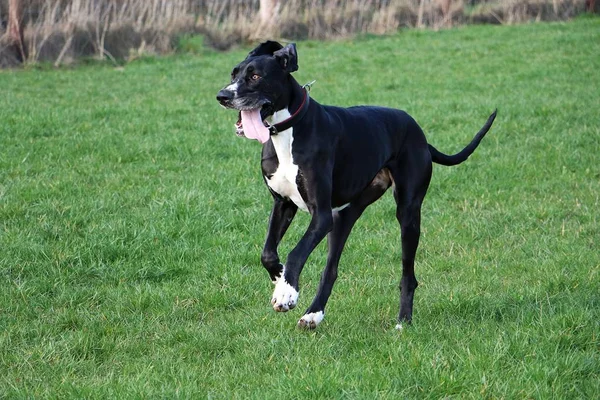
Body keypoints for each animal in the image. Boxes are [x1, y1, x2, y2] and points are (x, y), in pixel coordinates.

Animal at [218, 41, 494, 328]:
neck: (288, 131)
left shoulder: (320, 216)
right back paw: (313, 314)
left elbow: (296, 252)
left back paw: (403, 321)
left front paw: (287, 292)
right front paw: (280, 277)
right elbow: (268, 253)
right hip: (344, 216)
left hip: (407, 214)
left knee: (408, 273)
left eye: (255, 76)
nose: (222, 96)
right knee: (331, 268)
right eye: (233, 74)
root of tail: (420, 135)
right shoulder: (283, 204)